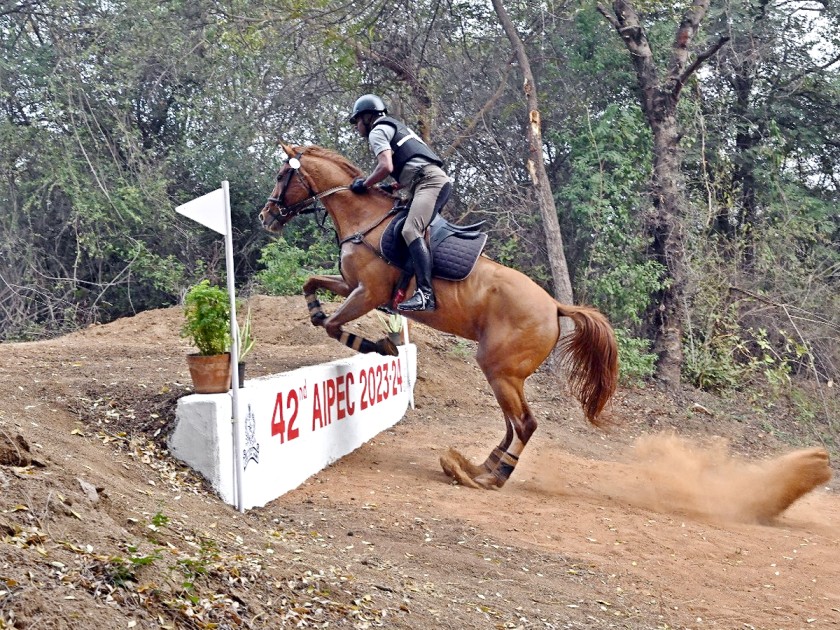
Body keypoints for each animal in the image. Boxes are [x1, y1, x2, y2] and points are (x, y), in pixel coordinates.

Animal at [256, 146, 616, 492]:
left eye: (281, 176)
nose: (265, 216)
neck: (365, 219)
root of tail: (554, 305)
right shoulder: (350, 285)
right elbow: (312, 289)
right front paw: (318, 310)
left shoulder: (367, 293)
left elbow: (333, 326)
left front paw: (383, 347)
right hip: (506, 375)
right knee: (512, 425)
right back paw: (479, 466)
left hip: (500, 370)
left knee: (524, 424)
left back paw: (492, 477)